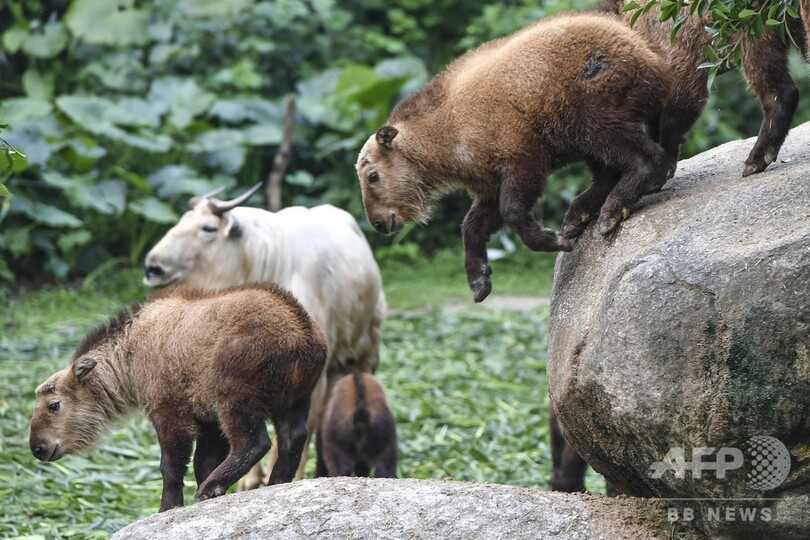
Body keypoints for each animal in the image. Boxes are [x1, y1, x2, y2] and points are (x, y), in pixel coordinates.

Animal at [28, 280, 326, 512]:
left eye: (53, 405)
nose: (37, 448)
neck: (127, 355)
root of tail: (302, 331)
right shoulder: (207, 419)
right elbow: (202, 462)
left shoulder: (169, 408)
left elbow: (171, 465)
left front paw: (167, 506)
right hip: (296, 399)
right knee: (293, 437)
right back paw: (276, 483)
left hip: (234, 397)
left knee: (254, 443)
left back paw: (210, 488)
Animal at [358, 11, 668, 304]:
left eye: (372, 175)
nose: (378, 222)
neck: (446, 130)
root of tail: (651, 56)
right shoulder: (488, 181)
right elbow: (472, 225)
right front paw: (479, 279)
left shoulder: (522, 156)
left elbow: (511, 210)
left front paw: (553, 239)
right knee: (607, 173)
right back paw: (579, 215)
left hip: (593, 114)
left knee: (647, 156)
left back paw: (611, 211)